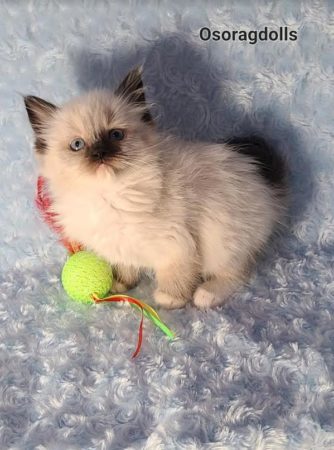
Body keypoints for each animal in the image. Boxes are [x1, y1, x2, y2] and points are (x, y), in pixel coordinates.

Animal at [24, 67, 288, 310]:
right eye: (77, 145)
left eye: (116, 135)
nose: (100, 154)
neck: (108, 195)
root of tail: (263, 181)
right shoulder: (121, 243)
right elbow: (127, 266)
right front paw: (121, 284)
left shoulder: (176, 244)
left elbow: (174, 275)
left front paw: (169, 299)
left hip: (223, 239)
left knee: (237, 274)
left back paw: (206, 294)